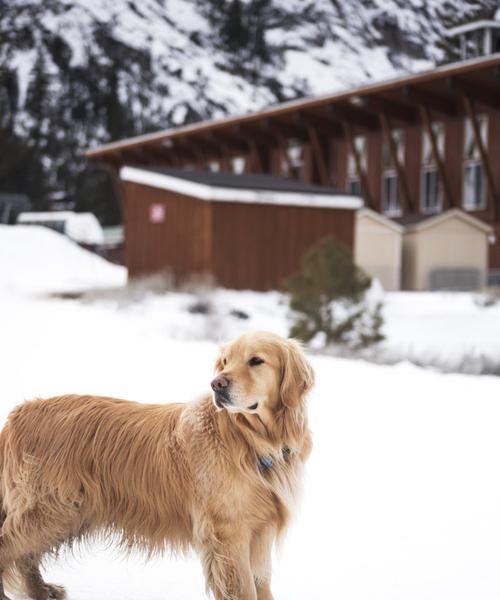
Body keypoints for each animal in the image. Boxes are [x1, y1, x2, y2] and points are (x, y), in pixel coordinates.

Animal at [0, 332, 314, 600]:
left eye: (256, 360)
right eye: (225, 362)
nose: (217, 384)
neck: (251, 439)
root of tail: (18, 414)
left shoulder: (260, 530)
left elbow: (262, 585)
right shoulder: (229, 532)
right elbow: (245, 588)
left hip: (67, 513)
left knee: (25, 556)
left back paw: (41, 591)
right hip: (52, 510)